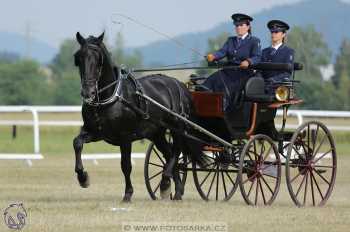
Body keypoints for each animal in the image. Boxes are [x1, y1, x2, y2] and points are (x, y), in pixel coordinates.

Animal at [73, 32, 205, 201]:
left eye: (98, 59)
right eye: (79, 58)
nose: (88, 92)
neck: (109, 98)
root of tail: (180, 85)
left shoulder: (125, 137)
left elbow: (126, 165)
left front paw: (128, 194)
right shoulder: (96, 132)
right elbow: (77, 143)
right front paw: (83, 177)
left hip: (177, 128)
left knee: (175, 152)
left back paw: (165, 183)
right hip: (157, 133)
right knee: (169, 154)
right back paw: (176, 191)